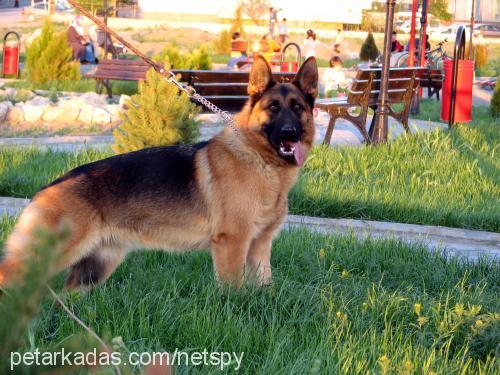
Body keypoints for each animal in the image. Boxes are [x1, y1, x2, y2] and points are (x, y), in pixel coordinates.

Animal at [0, 55, 318, 290]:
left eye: (297, 108)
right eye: (273, 108)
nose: (290, 133)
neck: (260, 160)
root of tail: (47, 188)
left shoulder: (260, 247)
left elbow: (265, 286)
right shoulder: (233, 243)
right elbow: (234, 291)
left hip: (95, 268)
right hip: (49, 258)